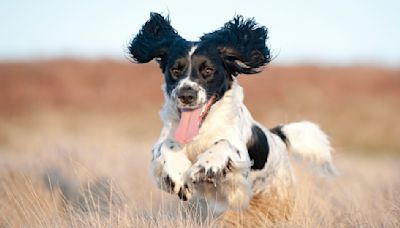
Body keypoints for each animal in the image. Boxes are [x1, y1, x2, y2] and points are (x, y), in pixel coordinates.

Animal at [129, 12, 338, 224]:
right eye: (175, 70)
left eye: (208, 70)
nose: (186, 94)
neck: (201, 130)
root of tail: (277, 136)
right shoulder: (164, 141)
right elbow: (166, 144)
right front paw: (178, 175)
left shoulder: (239, 160)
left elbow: (224, 144)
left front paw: (204, 167)